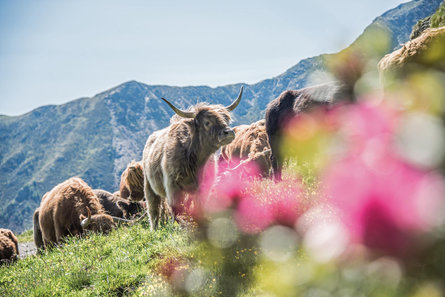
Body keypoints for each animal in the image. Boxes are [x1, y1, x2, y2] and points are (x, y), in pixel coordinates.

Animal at [143, 86, 243, 229]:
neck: (195, 159)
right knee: (153, 210)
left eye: (226, 119)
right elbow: (176, 210)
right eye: (207, 122)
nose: (229, 133)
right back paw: (155, 229)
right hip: (149, 187)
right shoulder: (172, 186)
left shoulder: (203, 187)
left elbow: (199, 207)